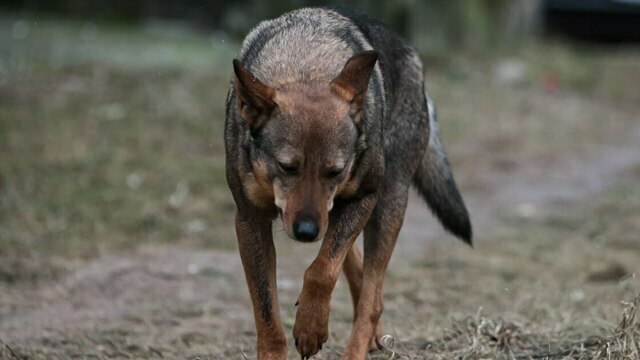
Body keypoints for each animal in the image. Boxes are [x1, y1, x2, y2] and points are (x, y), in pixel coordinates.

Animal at [224, 6, 470, 360]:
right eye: (287, 167)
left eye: (335, 171)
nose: (306, 232)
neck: (306, 65)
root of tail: (413, 55)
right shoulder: (250, 220)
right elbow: (267, 312)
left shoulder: (361, 198)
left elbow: (322, 270)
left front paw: (310, 328)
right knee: (361, 274)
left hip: (386, 205)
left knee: (372, 297)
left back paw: (358, 346)